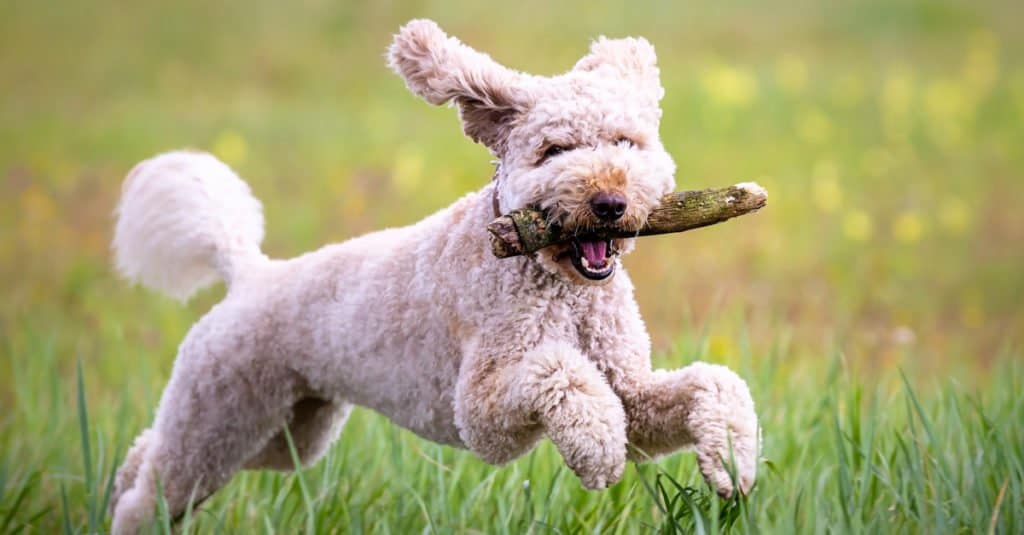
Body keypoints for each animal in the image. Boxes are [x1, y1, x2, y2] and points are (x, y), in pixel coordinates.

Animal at [108, 18, 757, 528]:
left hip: (287, 433)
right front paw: (597, 448)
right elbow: (558, 372)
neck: (558, 285)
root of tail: (249, 274)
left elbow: (711, 384)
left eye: (626, 142)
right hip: (219, 415)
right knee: (152, 494)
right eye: (554, 151)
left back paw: (118, 479)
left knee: (150, 456)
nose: (610, 202)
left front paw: (731, 461)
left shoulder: (631, 391)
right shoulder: (481, 411)